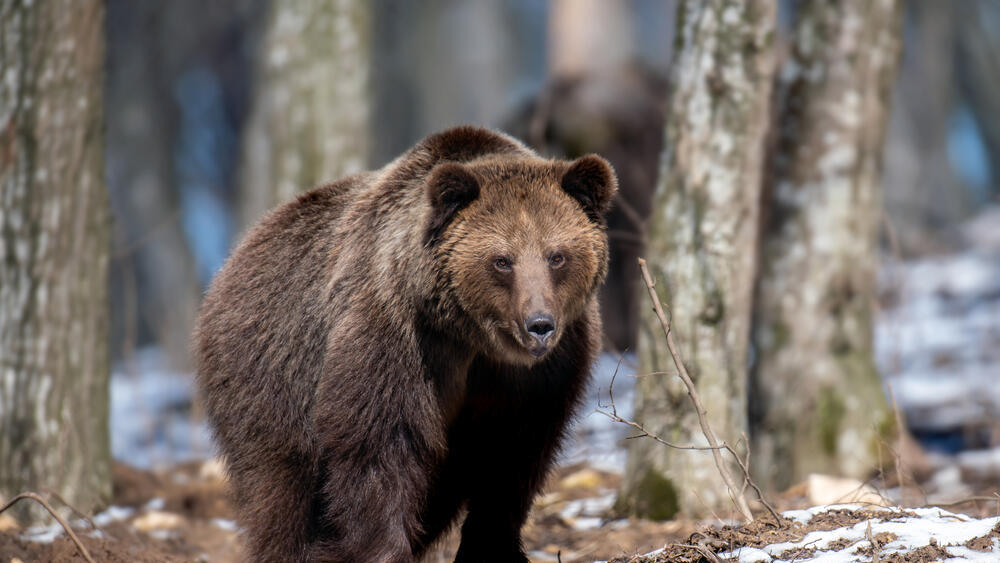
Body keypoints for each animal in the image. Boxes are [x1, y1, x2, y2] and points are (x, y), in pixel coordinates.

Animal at [194, 125, 612, 560]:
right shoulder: (396, 336)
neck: (472, 336)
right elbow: (378, 446)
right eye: (502, 260)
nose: (539, 325)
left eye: (556, 256)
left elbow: (513, 459)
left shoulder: (545, 373)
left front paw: (494, 547)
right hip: (272, 373)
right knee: (280, 487)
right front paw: (377, 549)